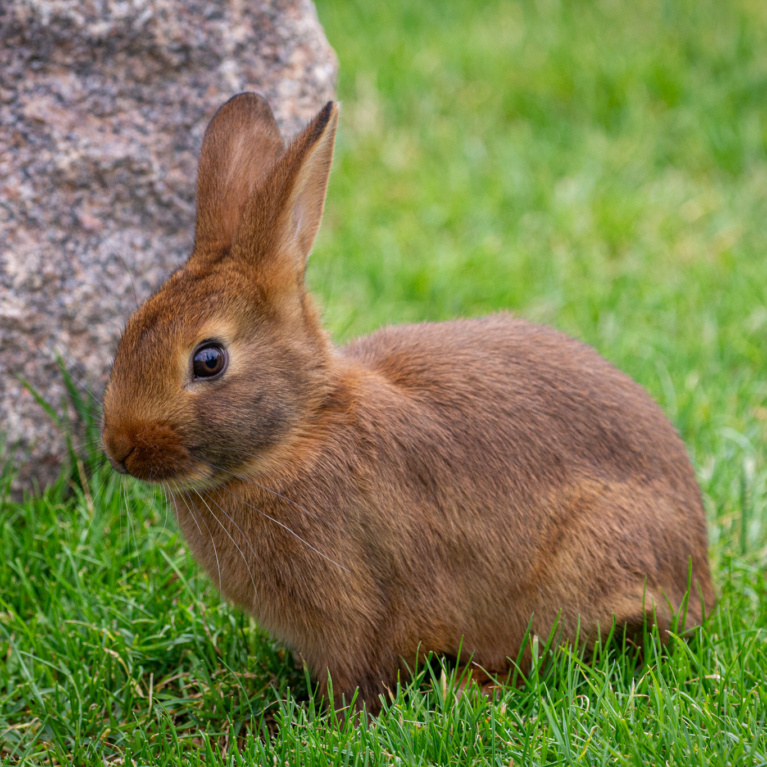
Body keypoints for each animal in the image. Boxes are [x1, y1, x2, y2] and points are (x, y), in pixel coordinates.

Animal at [101, 92, 716, 714]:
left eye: (209, 360)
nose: (119, 447)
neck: (300, 433)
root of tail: (698, 568)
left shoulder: (357, 605)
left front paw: (335, 721)